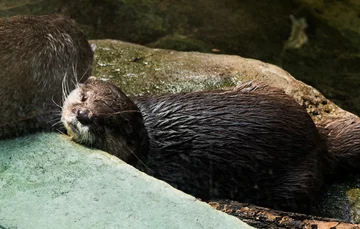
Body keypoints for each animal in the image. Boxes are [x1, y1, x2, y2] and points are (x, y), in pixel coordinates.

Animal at [62, 77, 330, 213]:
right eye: (84, 97)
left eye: (105, 122)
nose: (83, 114)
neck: (147, 146)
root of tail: (318, 138)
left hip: (296, 182)